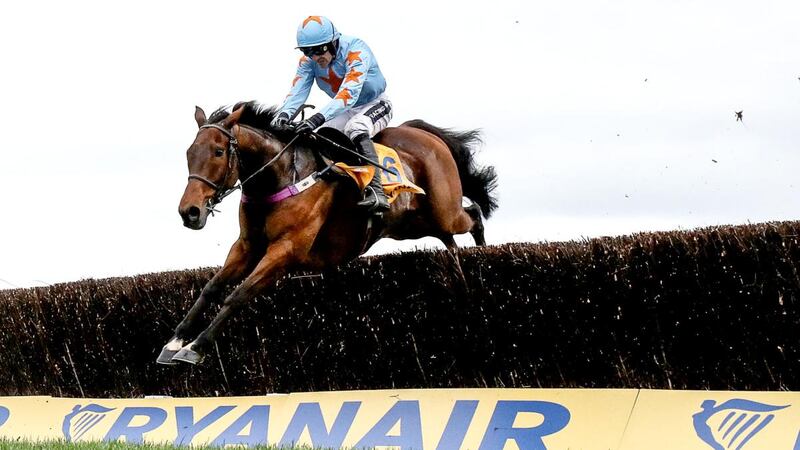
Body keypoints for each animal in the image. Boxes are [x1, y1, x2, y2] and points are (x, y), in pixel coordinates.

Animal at [159, 100, 496, 364]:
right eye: (189, 153)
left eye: (218, 152)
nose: (190, 211)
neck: (283, 175)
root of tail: (424, 133)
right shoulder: (246, 245)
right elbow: (211, 288)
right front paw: (175, 341)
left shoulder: (286, 250)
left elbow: (238, 295)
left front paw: (196, 346)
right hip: (411, 224)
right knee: (451, 236)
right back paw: (459, 266)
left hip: (444, 211)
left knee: (474, 217)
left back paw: (481, 258)